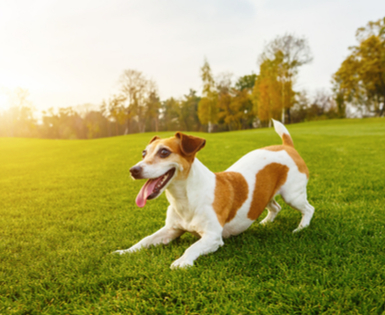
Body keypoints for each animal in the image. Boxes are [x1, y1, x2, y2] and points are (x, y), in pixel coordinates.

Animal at [114, 120, 312, 270]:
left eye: (164, 152)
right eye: (144, 153)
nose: (133, 170)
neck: (186, 198)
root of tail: (287, 146)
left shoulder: (212, 236)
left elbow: (192, 247)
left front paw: (182, 261)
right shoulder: (170, 230)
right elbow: (145, 240)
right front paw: (126, 251)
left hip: (292, 195)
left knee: (309, 209)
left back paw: (301, 228)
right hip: (264, 193)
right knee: (275, 207)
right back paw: (266, 222)